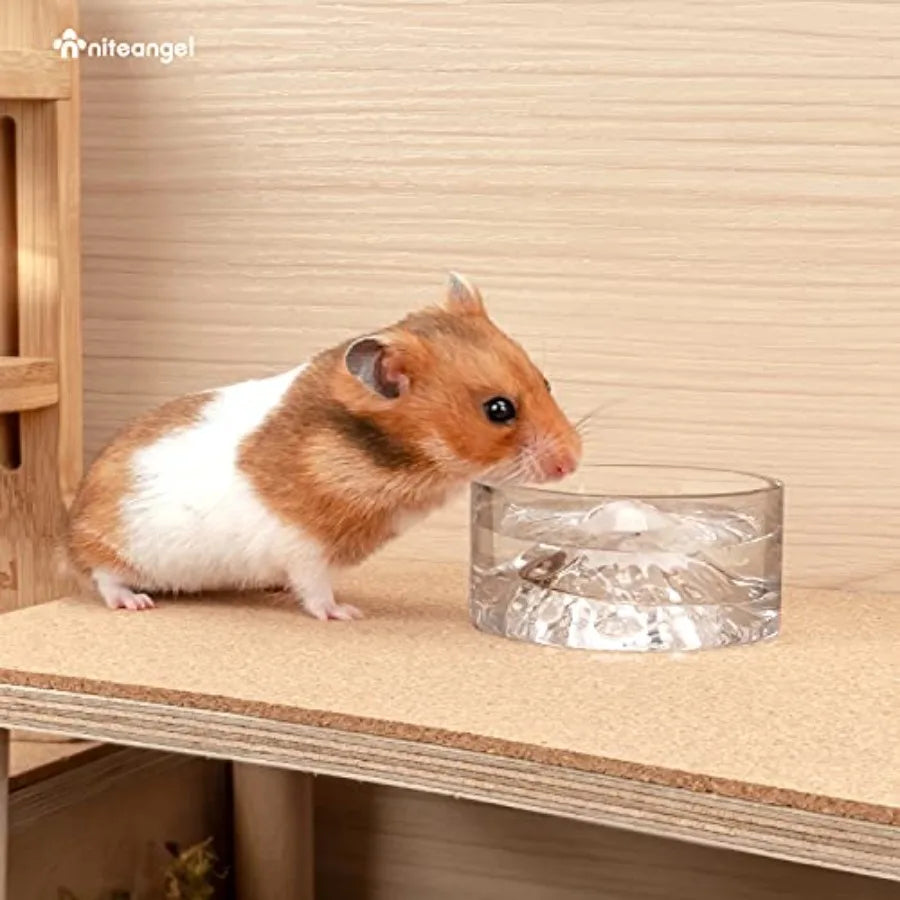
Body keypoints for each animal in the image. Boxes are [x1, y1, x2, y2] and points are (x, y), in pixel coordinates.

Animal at [67, 274, 582, 619]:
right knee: (103, 576)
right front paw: (348, 614)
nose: (573, 463)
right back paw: (135, 602)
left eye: (545, 382)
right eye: (498, 409)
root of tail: (71, 524)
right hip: (116, 548)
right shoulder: (305, 549)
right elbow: (316, 590)